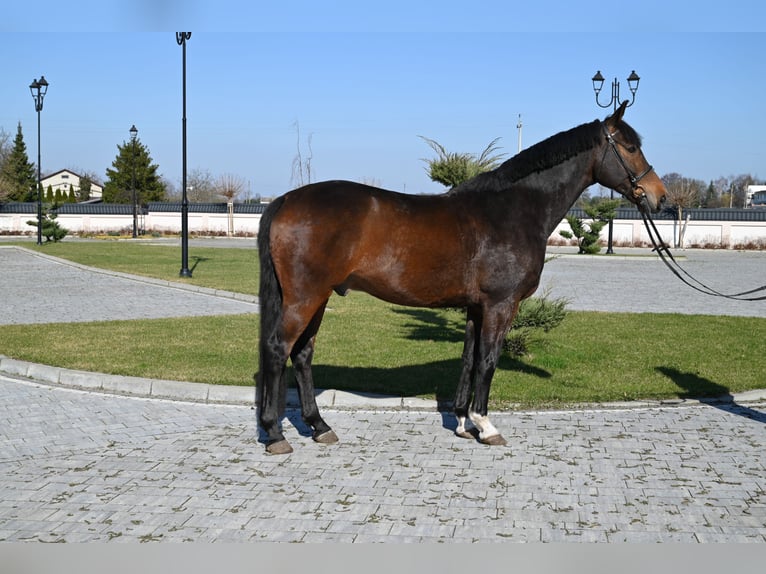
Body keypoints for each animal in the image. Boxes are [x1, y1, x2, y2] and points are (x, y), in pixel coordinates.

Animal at [256, 101, 666, 454]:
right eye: (630, 147)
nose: (659, 197)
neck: (514, 209)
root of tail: (286, 200)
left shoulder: (476, 307)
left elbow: (469, 359)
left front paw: (461, 423)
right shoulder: (501, 305)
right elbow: (488, 360)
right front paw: (486, 426)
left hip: (320, 296)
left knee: (303, 354)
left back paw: (319, 427)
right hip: (305, 297)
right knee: (278, 349)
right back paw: (276, 434)